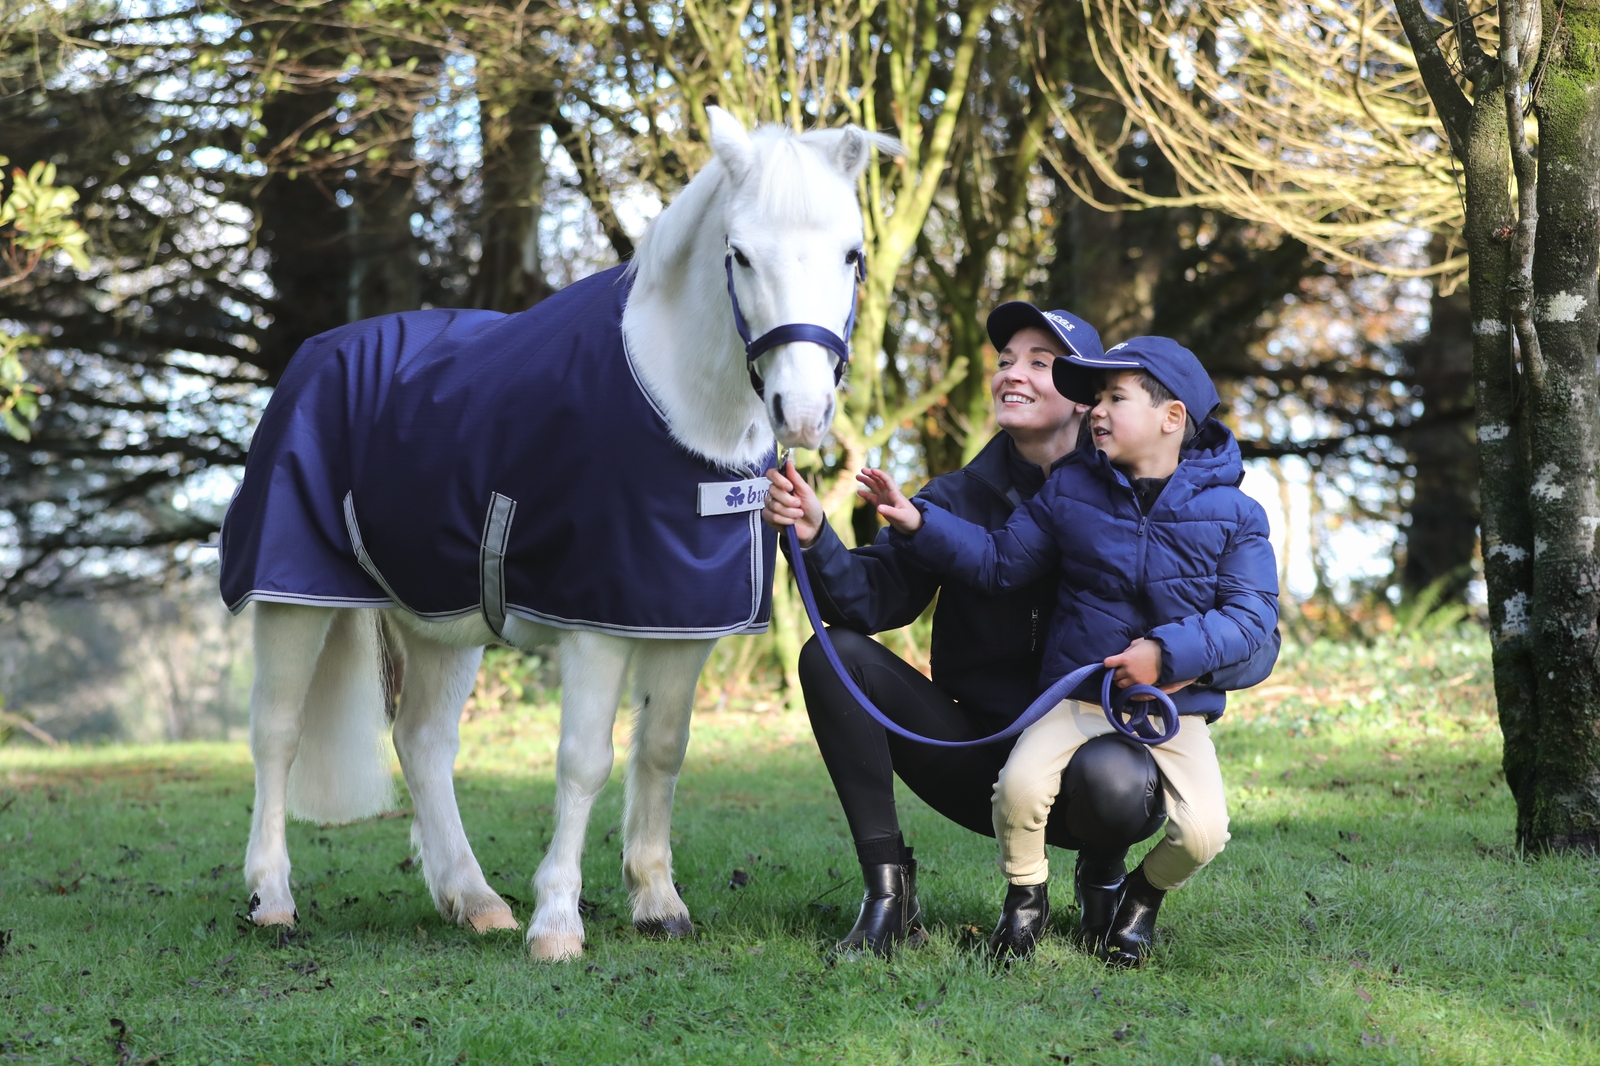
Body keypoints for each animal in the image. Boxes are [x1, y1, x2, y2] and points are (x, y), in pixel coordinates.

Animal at [219, 107, 899, 961]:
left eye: (853, 254)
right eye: (740, 254)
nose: (801, 414)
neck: (677, 413)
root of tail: (314, 357)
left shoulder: (684, 624)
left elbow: (663, 749)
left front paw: (657, 901)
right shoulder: (594, 625)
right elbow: (584, 763)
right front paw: (556, 924)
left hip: (441, 624)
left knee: (423, 742)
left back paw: (474, 900)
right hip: (293, 600)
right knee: (275, 735)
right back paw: (271, 898)